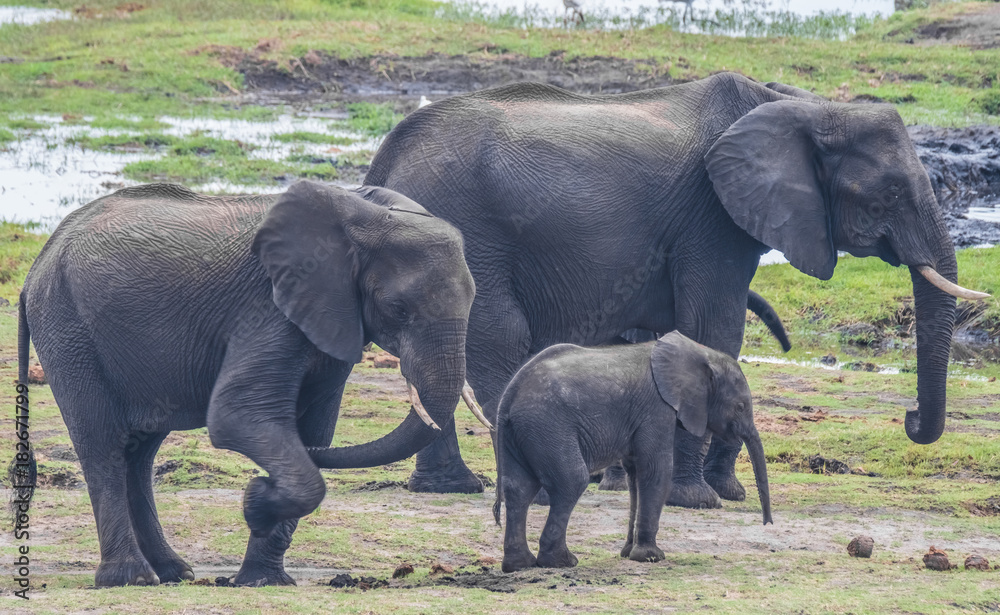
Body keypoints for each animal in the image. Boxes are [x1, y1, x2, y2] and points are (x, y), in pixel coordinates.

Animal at [17, 180, 479, 587]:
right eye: (398, 308)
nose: (261, 483)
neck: (367, 216)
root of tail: (39, 261)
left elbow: (314, 432)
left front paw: (263, 577)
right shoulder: (268, 309)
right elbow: (236, 417)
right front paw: (256, 503)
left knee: (139, 452)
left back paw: (174, 572)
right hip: (67, 327)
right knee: (103, 445)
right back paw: (130, 579)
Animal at [362, 72, 988, 506]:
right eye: (890, 193)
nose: (910, 417)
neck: (805, 106)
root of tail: (387, 158)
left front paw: (718, 492)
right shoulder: (710, 217)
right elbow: (714, 330)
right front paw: (697, 498)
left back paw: (450, 487)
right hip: (472, 228)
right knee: (498, 338)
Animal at [493, 331, 772, 573]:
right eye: (740, 407)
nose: (767, 523)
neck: (700, 354)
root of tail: (509, 395)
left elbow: (636, 475)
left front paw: (628, 553)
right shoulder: (656, 409)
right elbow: (655, 471)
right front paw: (650, 557)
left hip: (523, 433)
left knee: (519, 488)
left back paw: (520, 565)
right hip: (548, 428)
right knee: (571, 481)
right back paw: (562, 562)